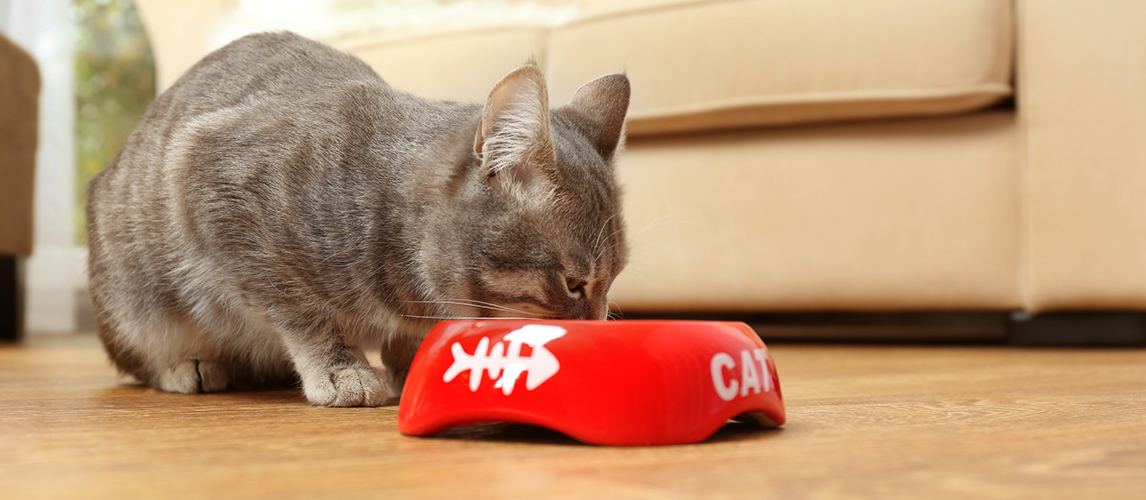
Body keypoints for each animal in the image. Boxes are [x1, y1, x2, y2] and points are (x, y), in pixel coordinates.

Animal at [84, 32, 632, 405]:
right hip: (133, 297)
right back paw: (188, 364)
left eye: (615, 277)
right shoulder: (216, 184)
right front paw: (341, 368)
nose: (601, 326)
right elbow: (301, 307)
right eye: (573, 283)